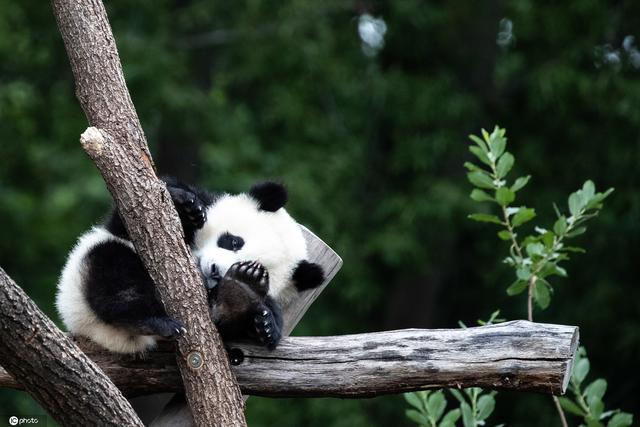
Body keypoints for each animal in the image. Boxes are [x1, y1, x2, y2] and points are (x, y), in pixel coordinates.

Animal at [55, 178, 324, 354]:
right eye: (233, 242)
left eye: (263, 268)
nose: (215, 271)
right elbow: (129, 221)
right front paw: (186, 206)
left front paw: (265, 324)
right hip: (84, 278)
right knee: (116, 277)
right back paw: (151, 321)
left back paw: (234, 298)